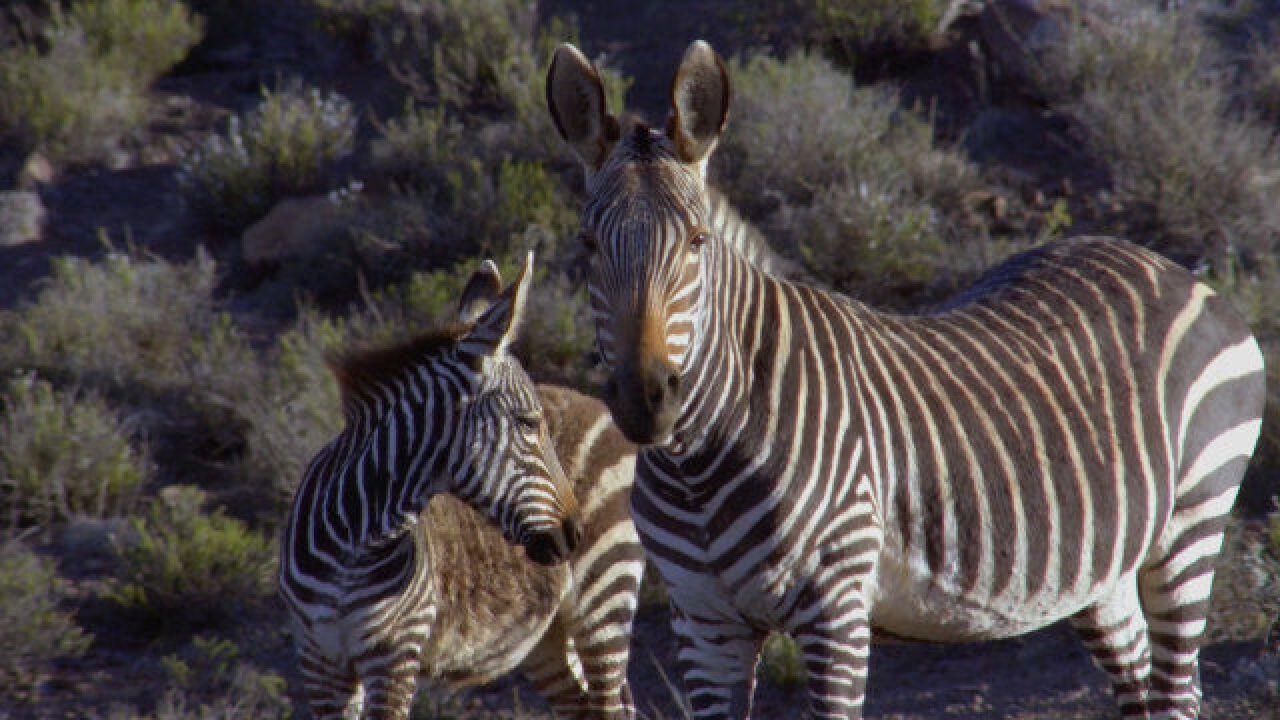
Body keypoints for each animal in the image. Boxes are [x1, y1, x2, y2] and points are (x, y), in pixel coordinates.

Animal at [276, 254, 645, 712]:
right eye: (528, 423)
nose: (574, 534)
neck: (353, 544)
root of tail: (600, 405)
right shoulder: (319, 662)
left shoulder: (394, 655)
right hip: (546, 637)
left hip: (604, 597)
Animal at [545, 40, 1264, 717]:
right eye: (585, 244)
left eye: (697, 241)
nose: (645, 401)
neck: (697, 462)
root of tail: (1175, 270)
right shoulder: (704, 624)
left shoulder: (835, 610)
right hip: (1103, 567)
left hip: (1190, 524)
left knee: (1176, 691)